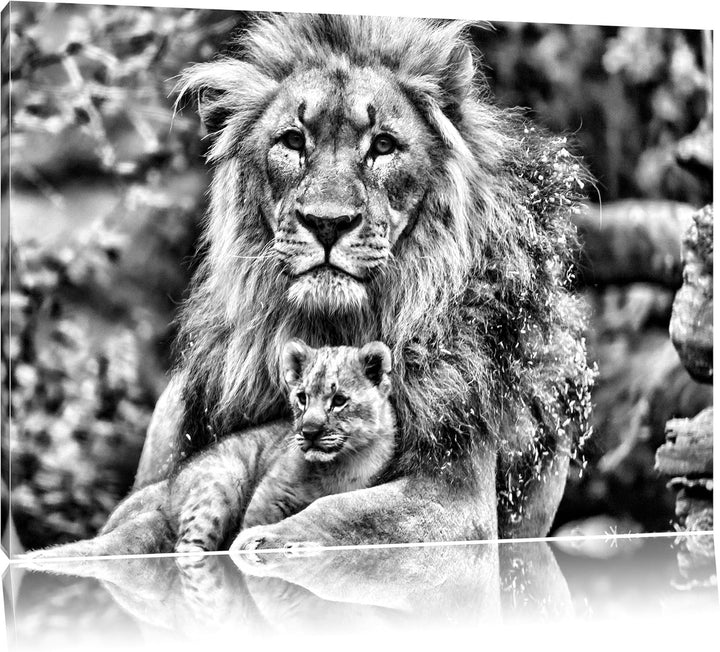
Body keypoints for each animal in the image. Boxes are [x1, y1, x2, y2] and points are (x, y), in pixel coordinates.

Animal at [125, 12, 592, 552]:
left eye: (383, 146)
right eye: (292, 141)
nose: (327, 223)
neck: (334, 328)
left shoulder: (455, 500)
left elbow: (341, 513)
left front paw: (263, 541)